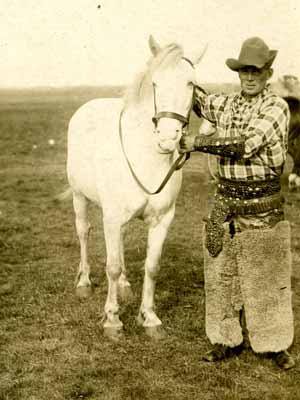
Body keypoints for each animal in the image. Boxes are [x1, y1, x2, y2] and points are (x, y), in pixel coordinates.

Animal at [67, 36, 205, 340]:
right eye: (155, 83)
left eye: (190, 83)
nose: (167, 138)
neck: (147, 157)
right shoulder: (111, 216)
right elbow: (112, 265)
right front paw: (112, 321)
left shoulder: (163, 219)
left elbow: (151, 267)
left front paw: (150, 318)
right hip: (79, 197)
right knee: (83, 232)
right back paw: (84, 283)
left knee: (120, 240)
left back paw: (124, 286)